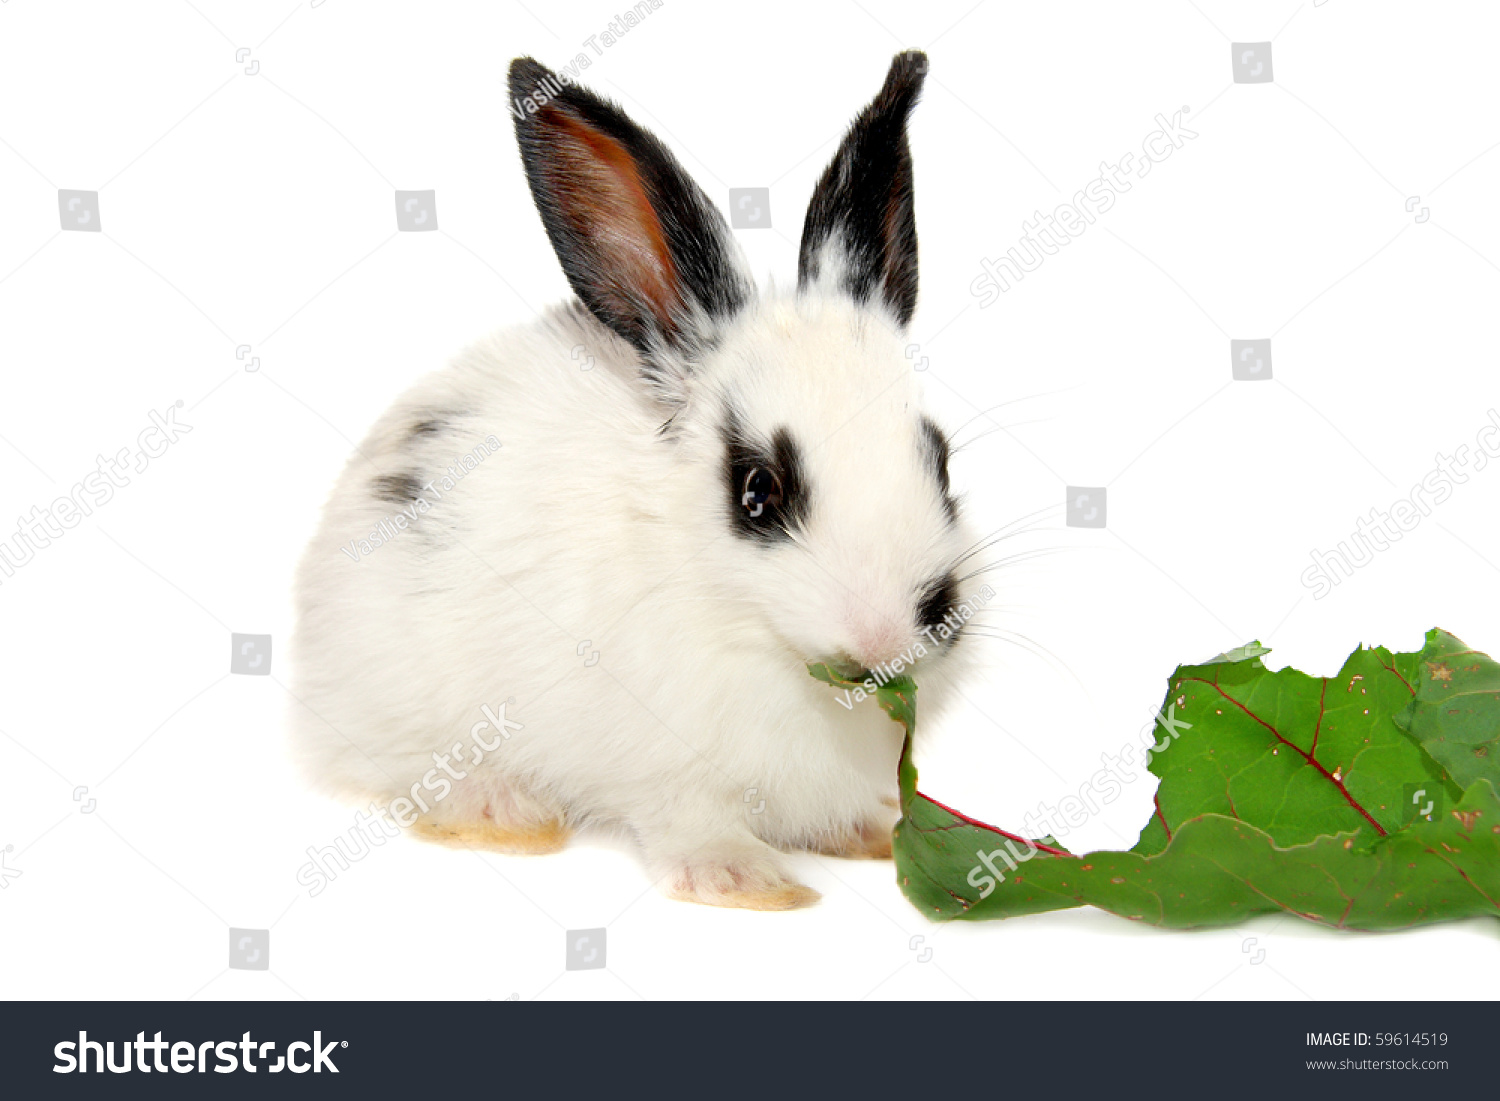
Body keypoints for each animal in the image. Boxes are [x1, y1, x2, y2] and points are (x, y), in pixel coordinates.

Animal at [292, 49, 996, 912]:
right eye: (757, 491)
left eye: (941, 460)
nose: (888, 635)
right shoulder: (665, 765)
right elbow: (691, 818)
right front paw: (748, 883)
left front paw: (862, 833)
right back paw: (502, 812)